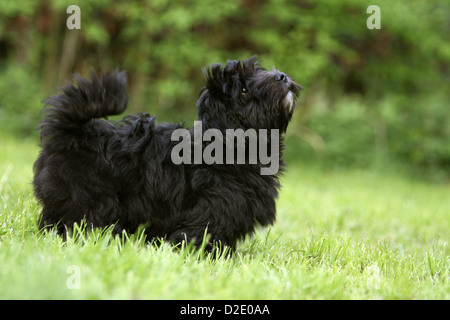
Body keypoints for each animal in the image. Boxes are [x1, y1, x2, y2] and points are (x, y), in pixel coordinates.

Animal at [33, 57, 302, 252]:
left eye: (258, 71)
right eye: (244, 89)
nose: (281, 76)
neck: (232, 143)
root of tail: (72, 133)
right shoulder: (211, 212)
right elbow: (201, 236)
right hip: (88, 199)